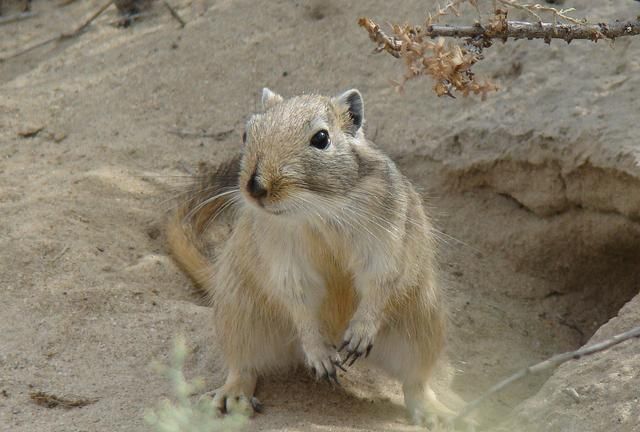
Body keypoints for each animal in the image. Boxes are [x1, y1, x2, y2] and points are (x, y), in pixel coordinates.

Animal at [165, 87, 456, 426]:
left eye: (321, 138)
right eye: (246, 133)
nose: (255, 187)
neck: (317, 210)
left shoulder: (384, 248)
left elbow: (378, 285)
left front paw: (357, 338)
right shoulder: (287, 266)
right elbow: (301, 305)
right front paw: (322, 359)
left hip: (421, 327)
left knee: (416, 383)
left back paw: (436, 414)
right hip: (240, 319)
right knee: (243, 368)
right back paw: (234, 398)